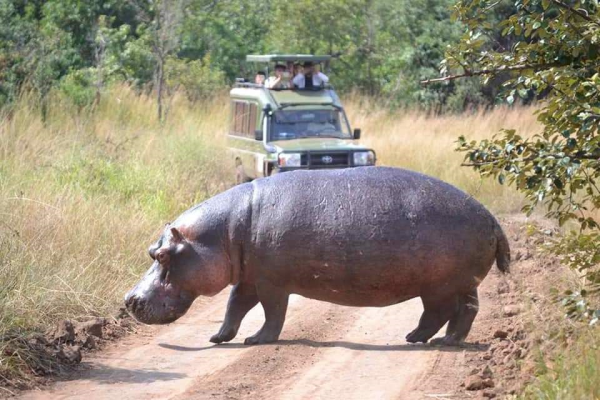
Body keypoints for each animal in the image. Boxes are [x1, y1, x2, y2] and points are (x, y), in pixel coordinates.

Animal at [124, 167, 508, 346]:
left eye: (163, 255)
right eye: (151, 251)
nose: (128, 299)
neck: (226, 230)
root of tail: (491, 215)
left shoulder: (272, 283)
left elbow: (273, 313)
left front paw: (256, 340)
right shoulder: (249, 277)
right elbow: (235, 306)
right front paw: (218, 338)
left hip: (441, 284)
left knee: (442, 311)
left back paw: (418, 339)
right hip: (462, 283)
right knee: (465, 310)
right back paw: (439, 339)